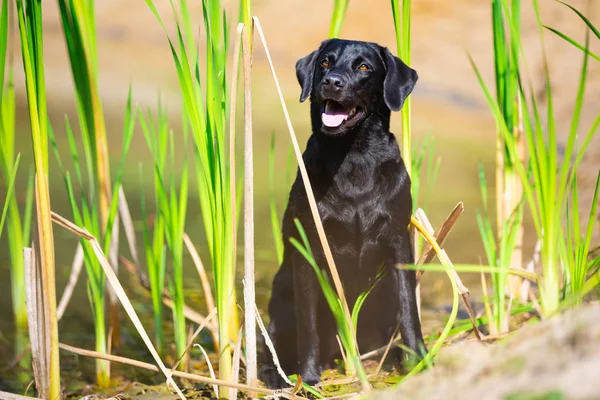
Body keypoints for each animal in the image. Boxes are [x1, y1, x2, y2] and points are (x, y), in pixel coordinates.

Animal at [258, 37, 426, 388]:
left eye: (363, 66)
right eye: (325, 61)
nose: (332, 82)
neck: (353, 158)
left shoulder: (397, 239)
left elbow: (409, 307)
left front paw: (417, 359)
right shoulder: (308, 249)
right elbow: (308, 326)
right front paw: (309, 378)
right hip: (281, 299)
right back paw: (277, 376)